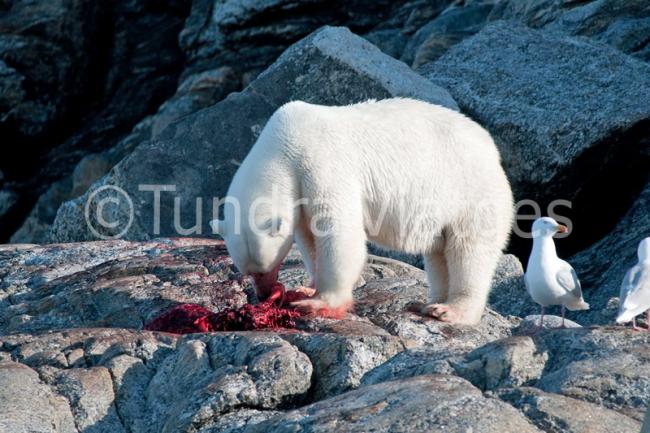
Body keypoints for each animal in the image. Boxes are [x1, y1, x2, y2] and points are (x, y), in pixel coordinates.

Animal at [211, 98, 512, 324]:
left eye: (263, 268)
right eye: (247, 271)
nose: (263, 295)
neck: (283, 145)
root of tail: (494, 153)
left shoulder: (321, 163)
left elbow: (337, 231)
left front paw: (318, 302)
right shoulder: (300, 190)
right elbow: (308, 238)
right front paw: (307, 287)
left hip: (470, 192)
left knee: (468, 249)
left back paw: (450, 310)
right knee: (439, 252)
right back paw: (428, 302)